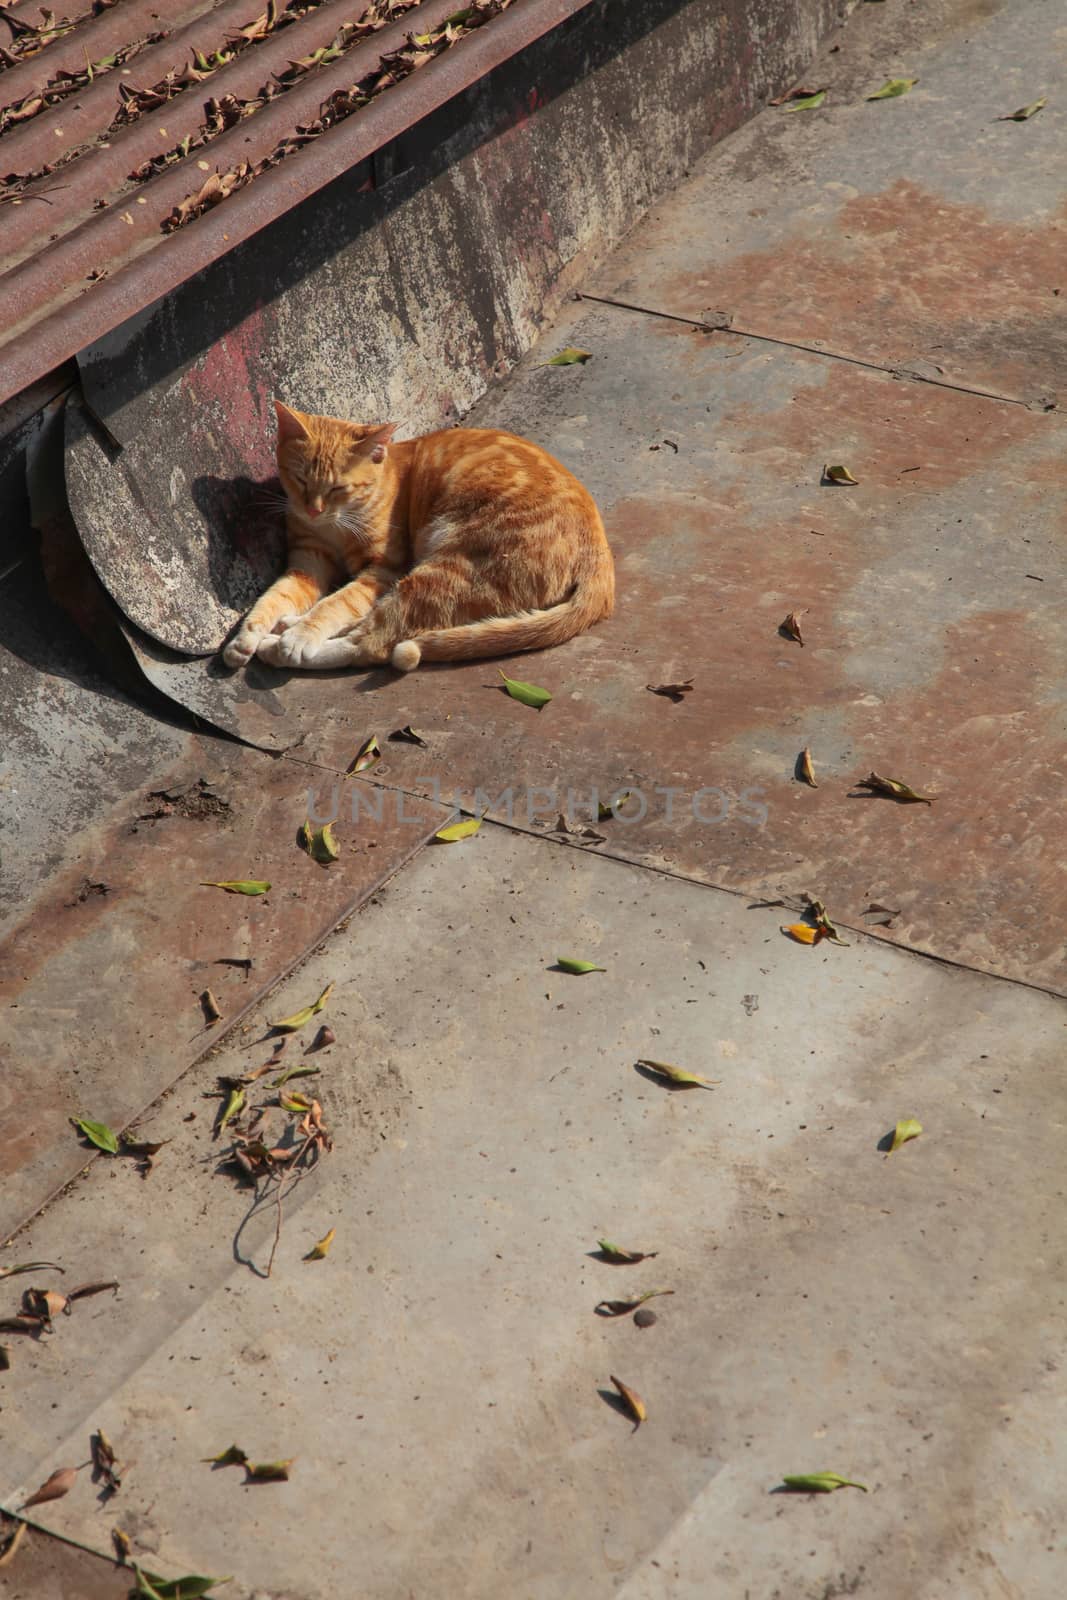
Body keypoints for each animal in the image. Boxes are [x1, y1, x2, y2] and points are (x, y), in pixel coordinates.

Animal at [220, 406, 614, 675]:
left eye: (337, 488)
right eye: (300, 479)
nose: (313, 510)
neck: (336, 524)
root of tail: (600, 554)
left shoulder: (382, 570)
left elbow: (336, 605)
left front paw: (300, 636)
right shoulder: (308, 562)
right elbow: (275, 597)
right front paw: (246, 637)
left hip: (441, 573)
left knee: (373, 642)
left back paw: (279, 645)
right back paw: (281, 628)